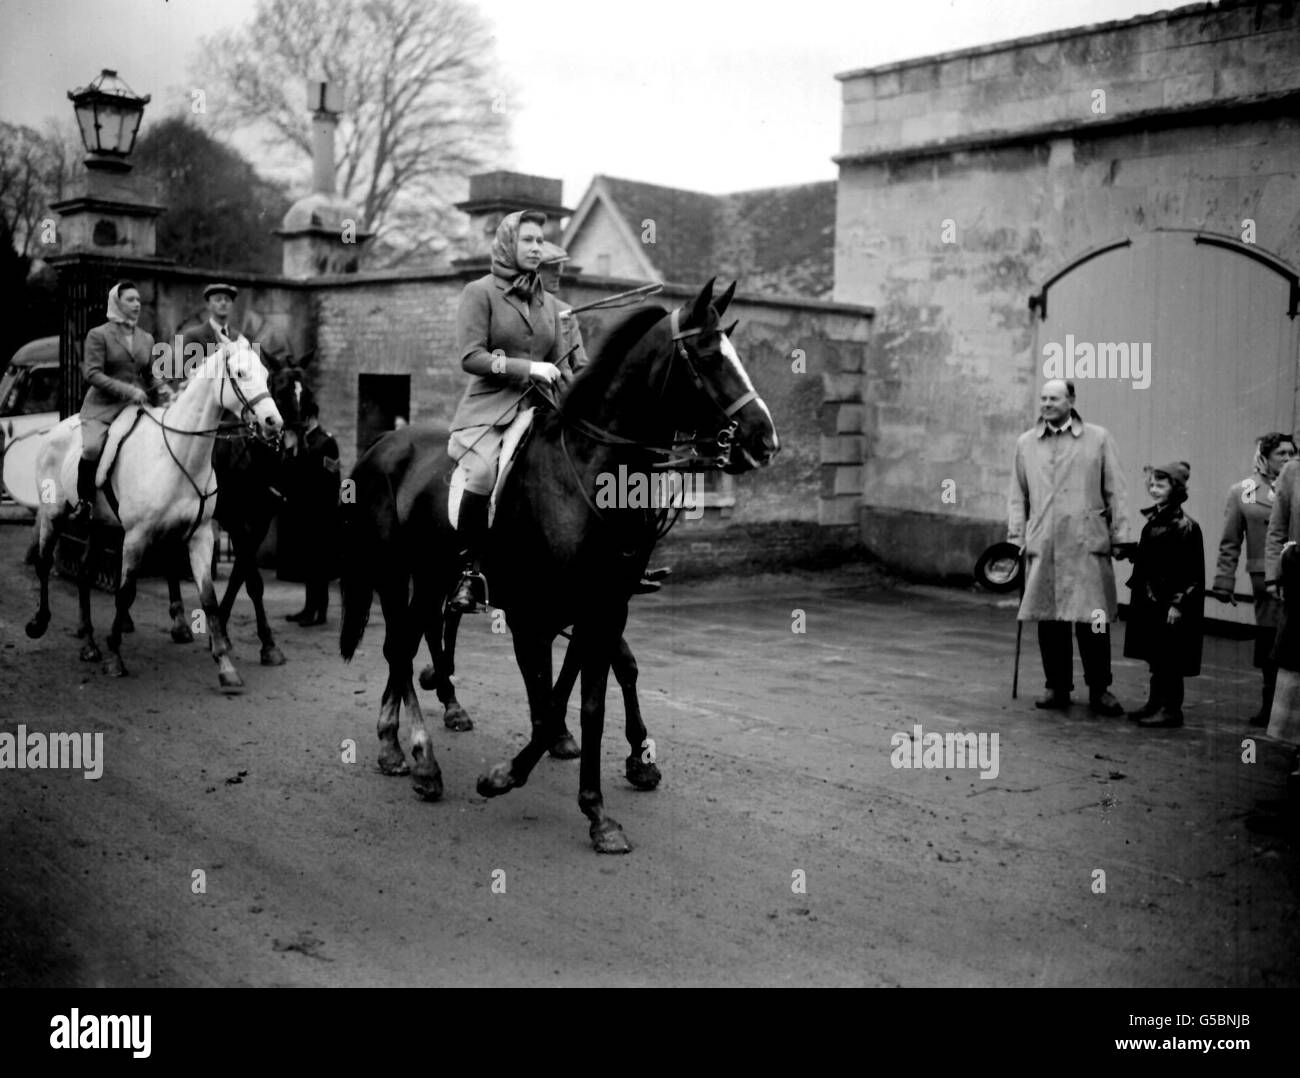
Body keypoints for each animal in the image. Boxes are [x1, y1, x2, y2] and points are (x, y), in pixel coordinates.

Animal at [25, 338, 284, 691]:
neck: (180, 453)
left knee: (84, 574)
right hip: (55, 515)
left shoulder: (203, 535)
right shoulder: (138, 536)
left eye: (267, 375)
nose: (274, 423)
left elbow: (210, 598)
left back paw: (90, 643)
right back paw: (40, 622)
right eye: (241, 374)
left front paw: (225, 662)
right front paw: (115, 657)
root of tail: (57, 429)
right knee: (44, 562)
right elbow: (125, 593)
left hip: (100, 526)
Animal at [163, 366, 308, 660]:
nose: (295, 444)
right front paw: (266, 642)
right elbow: (252, 580)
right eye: (281, 390)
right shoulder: (234, 521)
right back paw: (178, 622)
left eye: (305, 393)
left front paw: (226, 631)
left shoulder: (259, 523)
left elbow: (242, 574)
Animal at [340, 282, 774, 853]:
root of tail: (382, 445)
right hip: (394, 571)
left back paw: (397, 743)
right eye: (706, 357)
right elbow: (549, 701)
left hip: (430, 576)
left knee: (411, 640)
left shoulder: (602, 609)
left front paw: (599, 809)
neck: (586, 475)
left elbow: (589, 699)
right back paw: (421, 757)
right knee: (400, 648)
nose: (764, 439)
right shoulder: (534, 616)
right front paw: (506, 775)